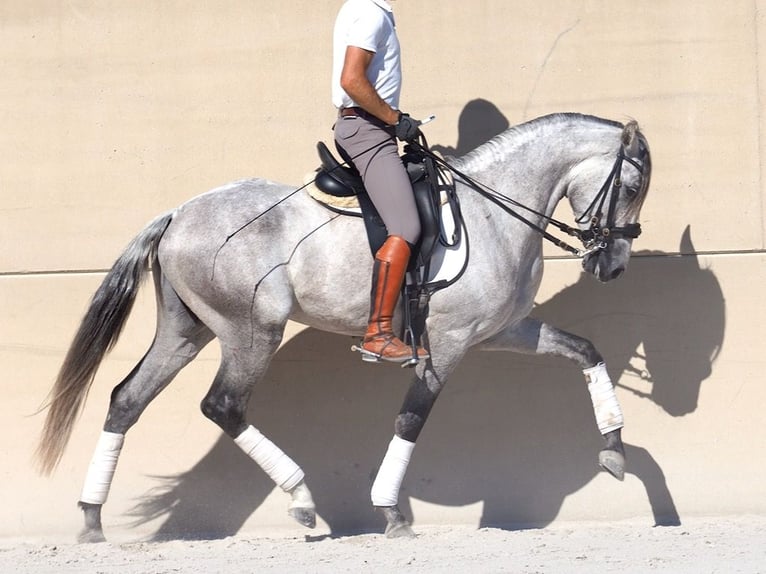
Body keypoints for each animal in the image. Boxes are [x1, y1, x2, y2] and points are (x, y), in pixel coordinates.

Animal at [37, 113, 656, 544]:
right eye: (630, 187)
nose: (613, 266)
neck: (494, 214)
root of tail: (177, 213)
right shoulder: (449, 344)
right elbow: (410, 420)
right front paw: (390, 512)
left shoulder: (503, 330)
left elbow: (585, 349)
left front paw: (614, 451)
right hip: (251, 330)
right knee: (223, 405)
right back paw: (302, 499)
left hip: (186, 332)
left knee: (126, 399)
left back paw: (91, 520)